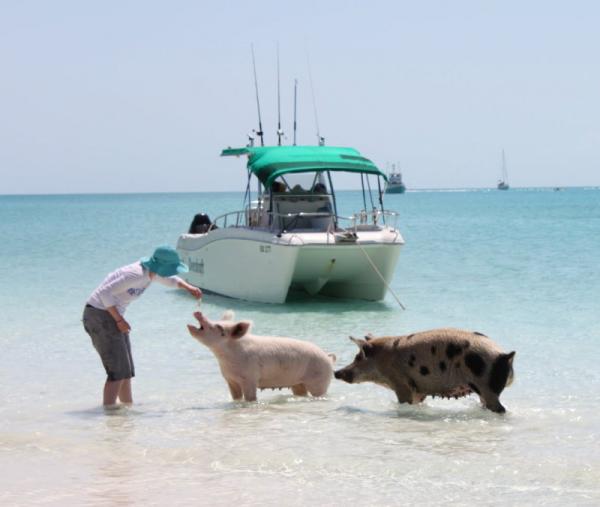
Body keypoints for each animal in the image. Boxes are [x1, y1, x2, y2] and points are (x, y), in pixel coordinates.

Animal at [188, 312, 336, 402]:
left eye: (220, 328)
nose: (198, 313)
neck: (224, 357)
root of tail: (329, 358)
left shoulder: (250, 378)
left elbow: (250, 398)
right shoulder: (230, 380)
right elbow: (236, 398)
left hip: (319, 380)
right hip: (298, 383)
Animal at [332, 330, 516, 412]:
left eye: (358, 357)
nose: (336, 372)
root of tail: (505, 355)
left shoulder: (401, 384)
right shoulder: (419, 389)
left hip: (487, 388)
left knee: (501, 408)